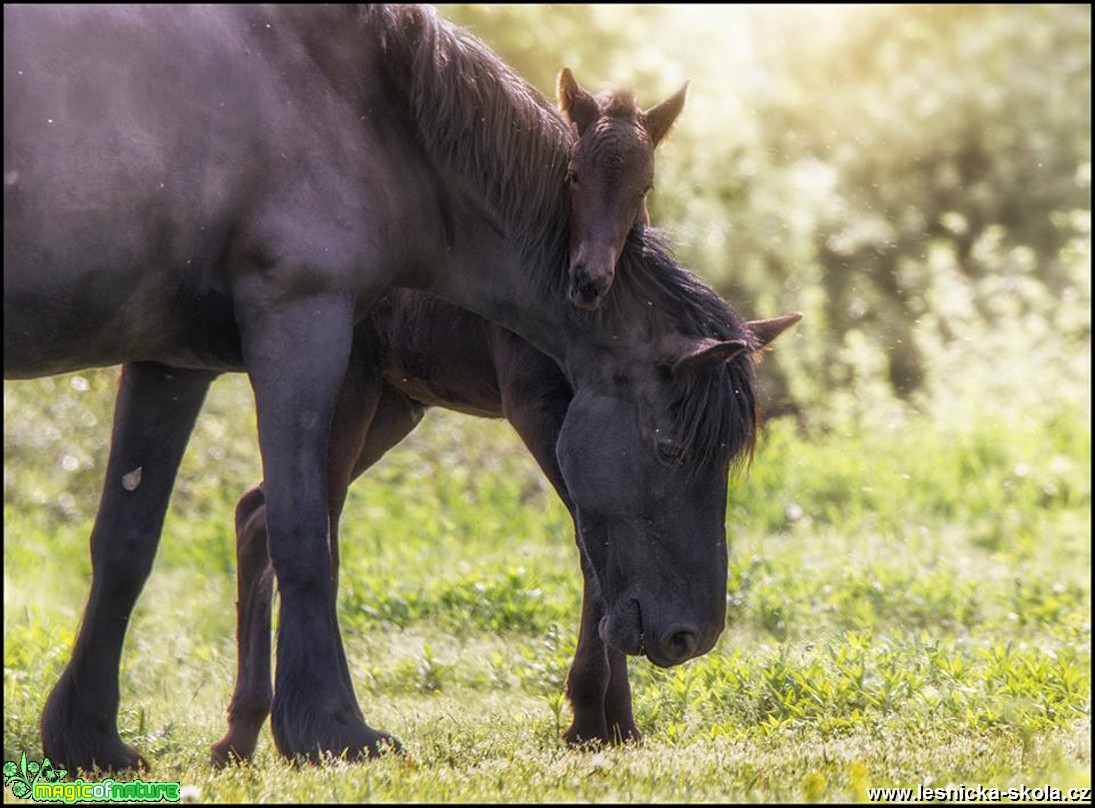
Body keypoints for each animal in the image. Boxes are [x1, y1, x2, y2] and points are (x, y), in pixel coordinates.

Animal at [4, 3, 770, 766]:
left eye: (643, 186)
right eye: (671, 449)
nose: (693, 635)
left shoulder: (169, 356)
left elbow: (127, 538)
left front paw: (87, 736)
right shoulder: (315, 326)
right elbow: (307, 536)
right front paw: (332, 728)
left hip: (385, 412)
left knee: (248, 516)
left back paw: (239, 730)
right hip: (355, 398)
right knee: (281, 520)